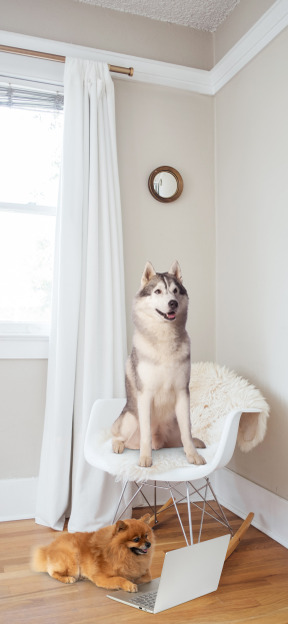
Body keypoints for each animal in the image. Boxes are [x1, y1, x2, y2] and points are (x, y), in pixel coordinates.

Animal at [111, 260, 206, 468]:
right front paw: (145, 458)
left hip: (173, 425)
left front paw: (192, 455)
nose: (173, 303)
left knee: (181, 437)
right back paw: (119, 445)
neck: (164, 341)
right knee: (119, 435)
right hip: (130, 418)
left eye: (175, 290)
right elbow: (145, 433)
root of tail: (160, 443)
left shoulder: (182, 391)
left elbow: (187, 431)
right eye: (158, 291)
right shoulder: (145, 394)